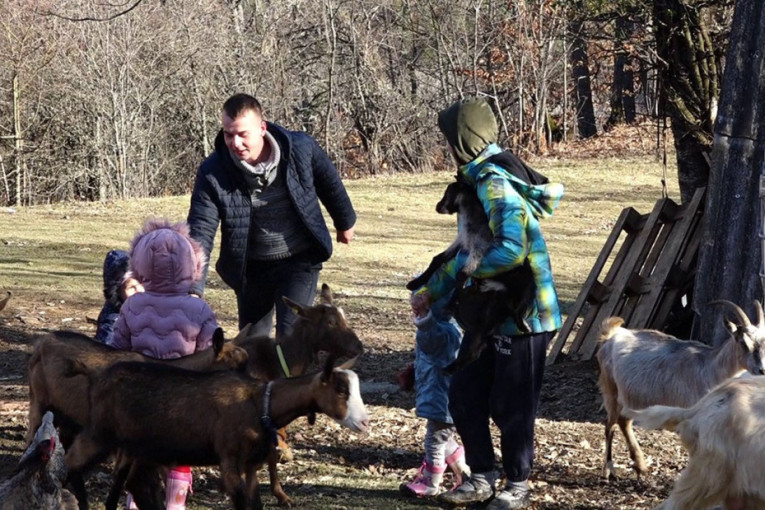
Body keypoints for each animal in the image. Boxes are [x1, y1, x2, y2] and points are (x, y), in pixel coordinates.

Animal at [64, 356, 368, 508]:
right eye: (341, 390)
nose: (365, 422)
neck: (260, 402)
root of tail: (96, 376)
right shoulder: (229, 459)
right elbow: (241, 502)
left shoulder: (251, 465)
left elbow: (255, 503)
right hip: (99, 434)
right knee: (70, 464)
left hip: (137, 448)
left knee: (128, 484)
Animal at [596, 298, 764, 478]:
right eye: (743, 342)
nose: (762, 369)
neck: (712, 367)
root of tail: (611, 336)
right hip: (611, 389)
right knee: (610, 425)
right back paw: (609, 469)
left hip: (631, 397)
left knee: (624, 421)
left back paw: (640, 465)